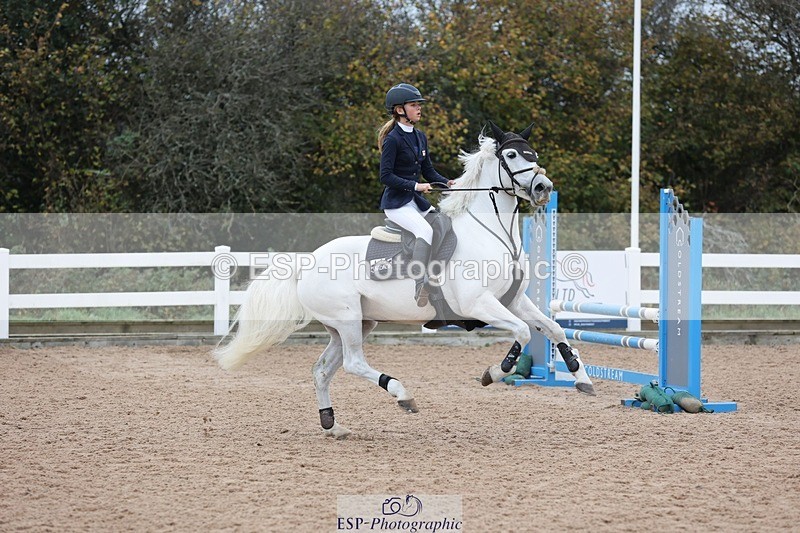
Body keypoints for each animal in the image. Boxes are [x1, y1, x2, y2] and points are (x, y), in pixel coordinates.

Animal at [214, 122, 595, 438]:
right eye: (512, 155)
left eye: (535, 155)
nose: (544, 188)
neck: (491, 232)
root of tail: (307, 262)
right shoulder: (479, 304)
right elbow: (523, 332)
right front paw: (495, 373)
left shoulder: (514, 300)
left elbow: (553, 329)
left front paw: (581, 377)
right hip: (347, 319)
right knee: (353, 363)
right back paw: (401, 394)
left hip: (354, 323)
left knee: (322, 370)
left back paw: (333, 425)